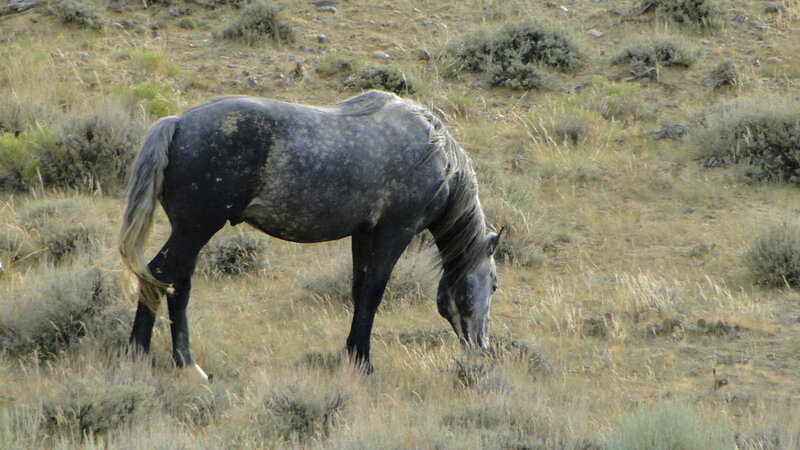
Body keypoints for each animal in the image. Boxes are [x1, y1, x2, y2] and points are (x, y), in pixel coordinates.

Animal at [119, 90, 502, 379]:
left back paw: (185, 364)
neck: (434, 152)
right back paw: (150, 359)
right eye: (495, 284)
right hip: (195, 230)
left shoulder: (364, 234)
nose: (483, 347)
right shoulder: (396, 231)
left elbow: (360, 290)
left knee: (177, 285)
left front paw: (353, 356)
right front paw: (365, 364)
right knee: (159, 276)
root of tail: (177, 123)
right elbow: (374, 292)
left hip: (191, 233)